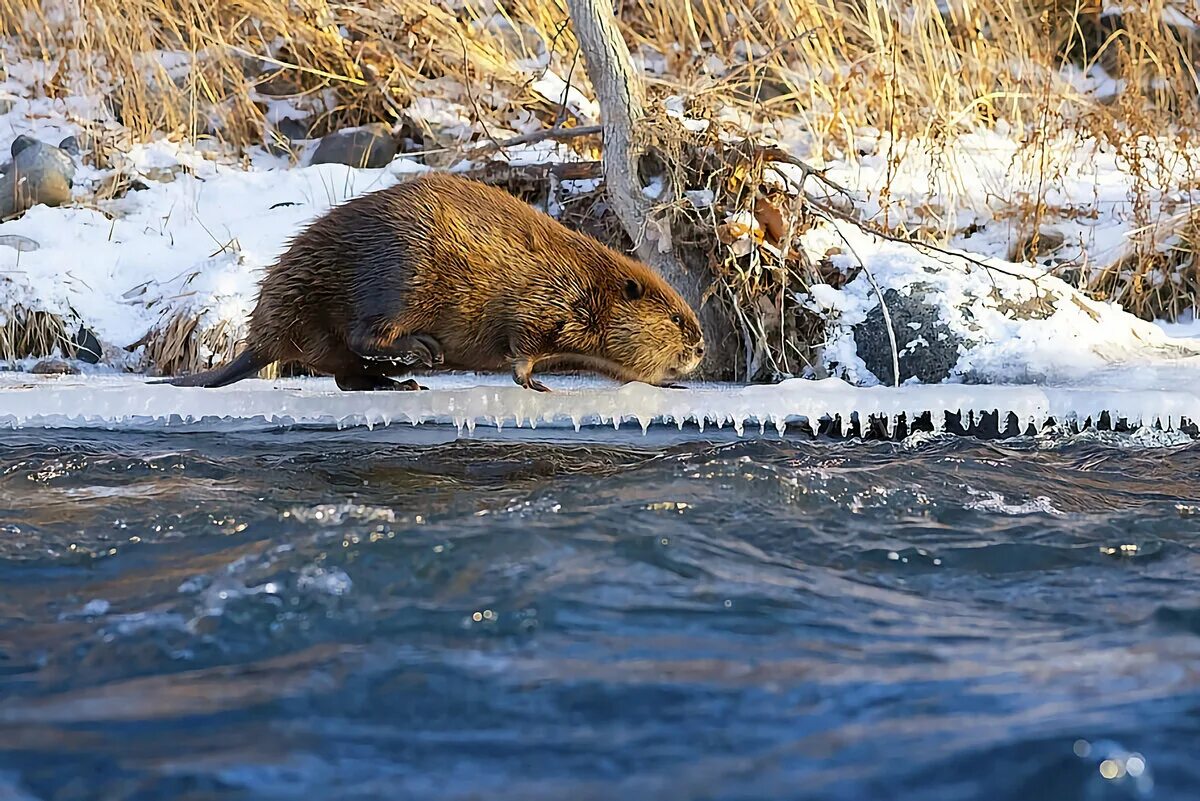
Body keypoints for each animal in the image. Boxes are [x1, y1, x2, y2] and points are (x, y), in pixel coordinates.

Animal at [158, 172, 700, 390]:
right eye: (677, 318)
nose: (699, 349)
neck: (588, 277)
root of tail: (261, 342)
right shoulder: (543, 297)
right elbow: (522, 347)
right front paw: (536, 382)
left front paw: (671, 384)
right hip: (406, 275)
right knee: (365, 337)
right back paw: (420, 355)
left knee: (345, 375)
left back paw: (401, 382)